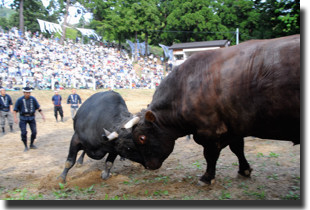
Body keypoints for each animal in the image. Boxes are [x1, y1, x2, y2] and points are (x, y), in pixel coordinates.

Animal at [121, 34, 300, 185]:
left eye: (142, 138)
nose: (148, 166)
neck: (184, 88)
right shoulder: (233, 126)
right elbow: (238, 148)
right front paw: (244, 169)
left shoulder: (208, 131)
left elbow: (210, 155)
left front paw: (207, 177)